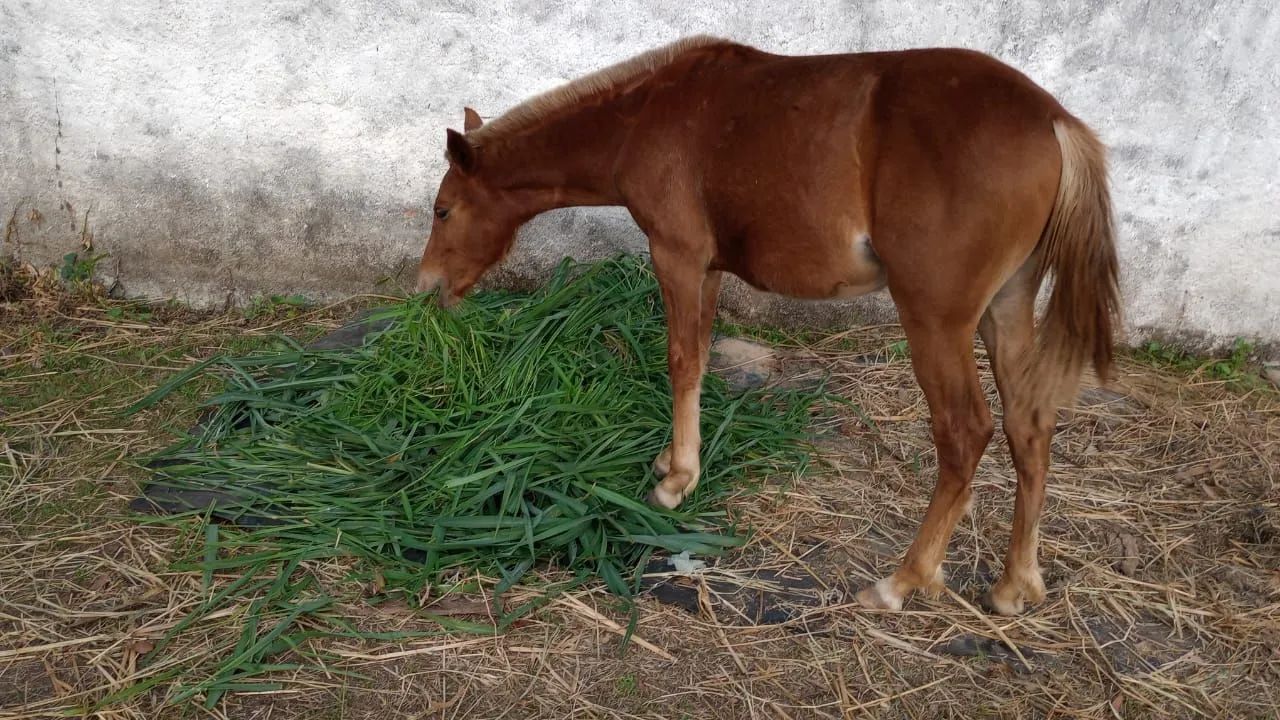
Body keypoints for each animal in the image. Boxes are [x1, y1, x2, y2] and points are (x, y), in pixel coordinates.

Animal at [414, 36, 1121, 615]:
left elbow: (681, 358)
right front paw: (673, 459)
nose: (426, 289)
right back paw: (1016, 584)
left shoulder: (676, 253)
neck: (646, 117)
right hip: (1008, 303)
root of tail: (1053, 121)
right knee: (1029, 424)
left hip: (935, 318)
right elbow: (699, 353)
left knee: (966, 432)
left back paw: (901, 581)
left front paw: (675, 483)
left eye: (443, 209)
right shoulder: (708, 267)